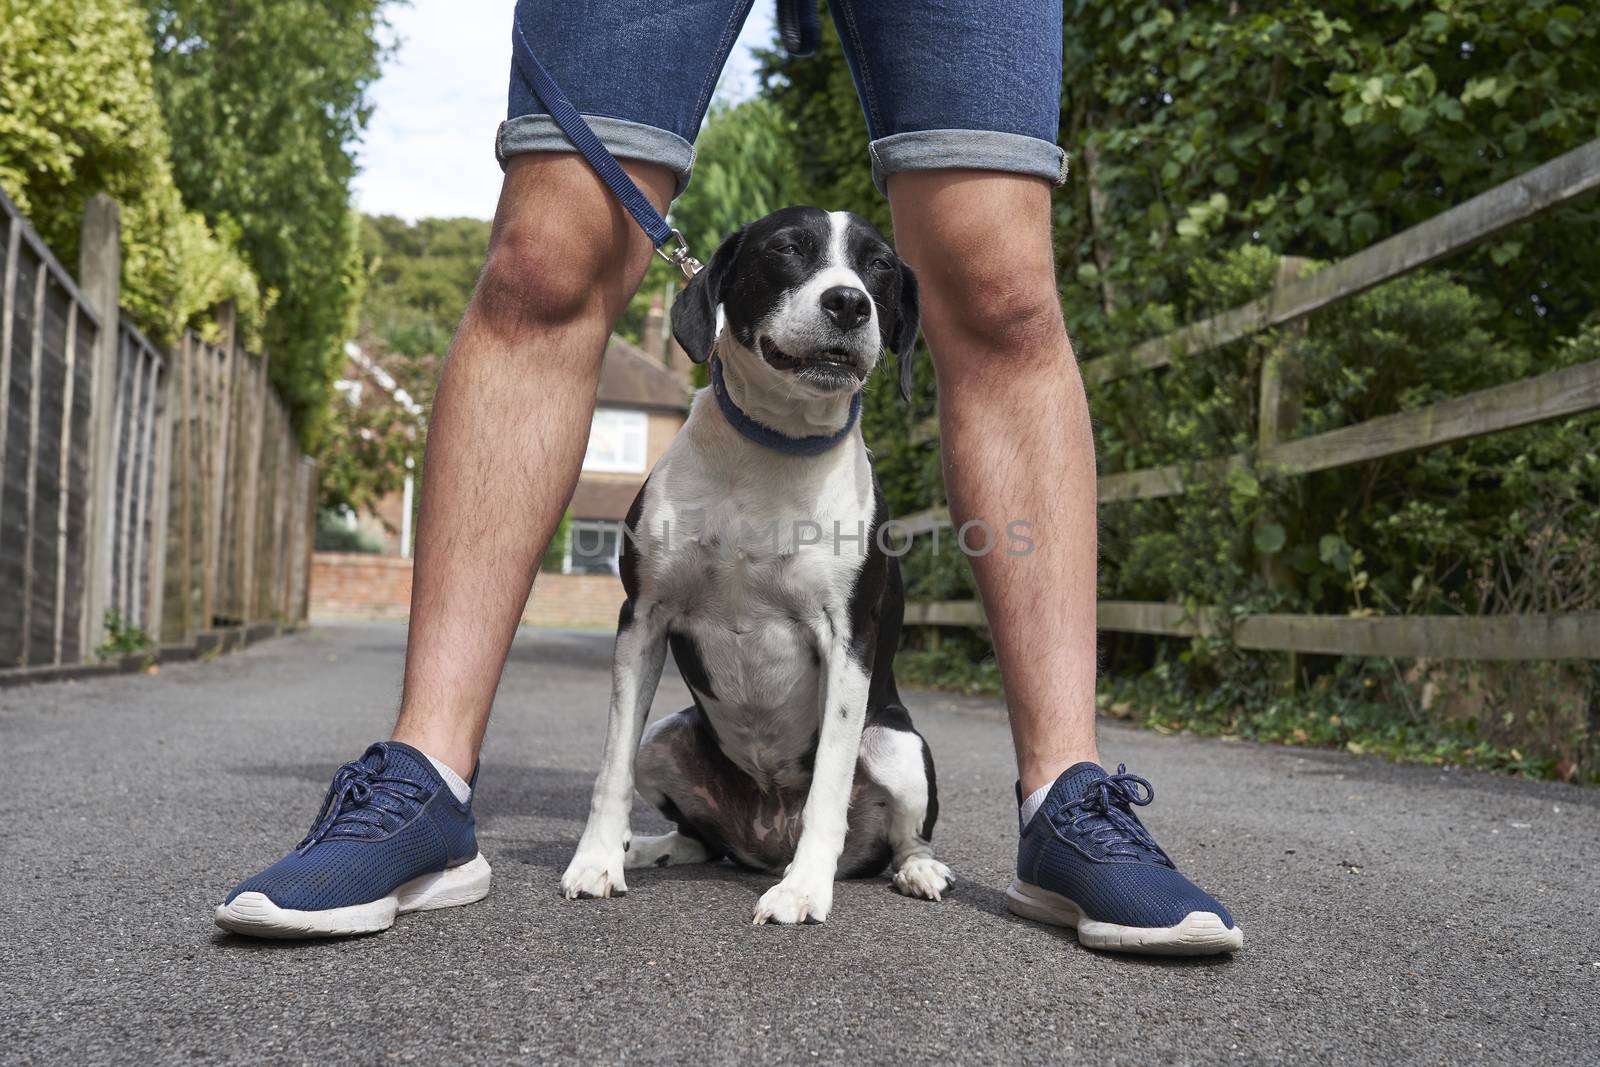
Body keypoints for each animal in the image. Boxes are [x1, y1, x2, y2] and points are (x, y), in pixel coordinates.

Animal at [563, 207, 947, 927]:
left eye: (880, 266)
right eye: (787, 249)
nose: (849, 302)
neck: (775, 448)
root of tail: (767, 837)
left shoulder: (847, 641)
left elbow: (828, 782)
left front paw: (803, 891)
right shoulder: (642, 621)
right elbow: (610, 766)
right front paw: (596, 860)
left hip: (898, 744)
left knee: (905, 837)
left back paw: (915, 870)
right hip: (668, 738)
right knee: (698, 839)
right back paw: (648, 849)